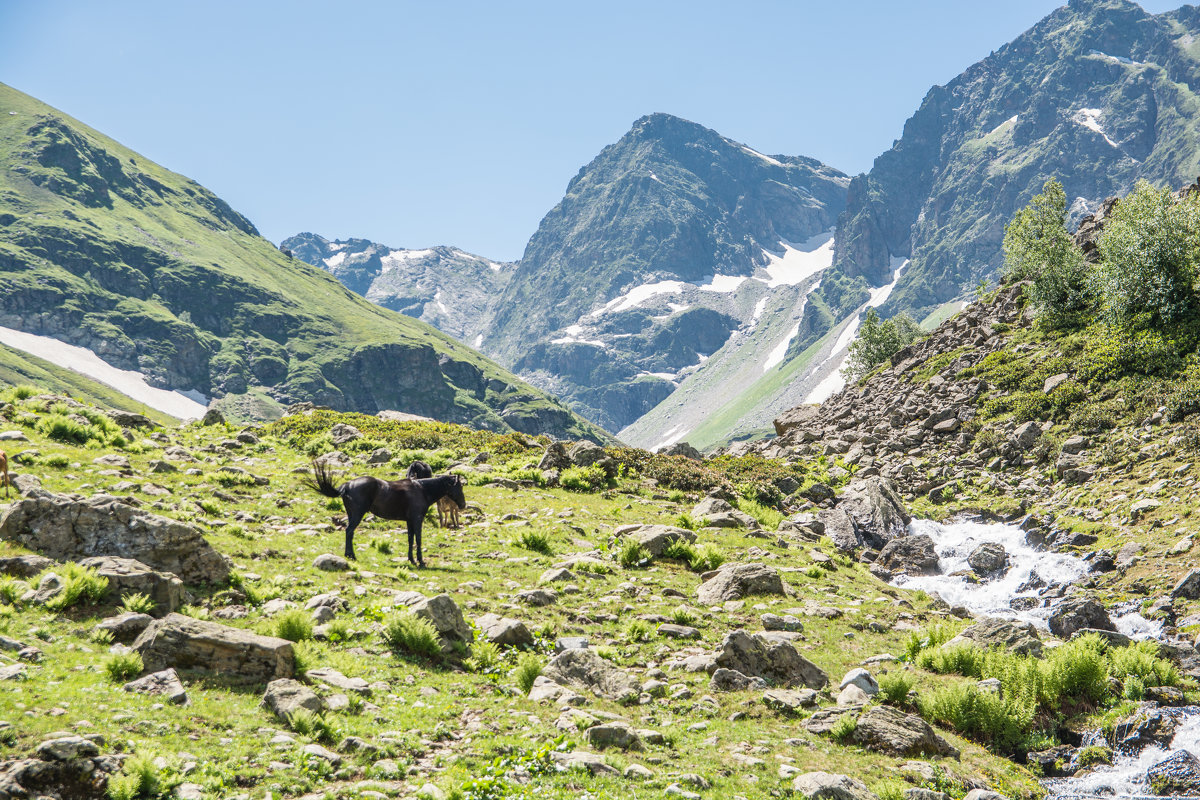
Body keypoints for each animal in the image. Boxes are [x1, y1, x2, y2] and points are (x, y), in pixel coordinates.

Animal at [304, 460, 463, 566]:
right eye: (459, 486)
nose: (463, 504)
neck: (421, 489)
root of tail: (347, 486)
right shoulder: (417, 520)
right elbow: (418, 539)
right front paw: (420, 561)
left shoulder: (409, 521)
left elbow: (410, 539)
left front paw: (411, 559)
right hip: (357, 515)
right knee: (349, 531)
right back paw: (351, 556)